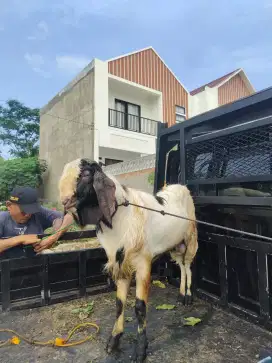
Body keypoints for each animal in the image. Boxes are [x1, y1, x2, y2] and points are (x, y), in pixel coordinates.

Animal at [58, 159, 198, 363]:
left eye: (85, 174)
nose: (65, 201)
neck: (122, 215)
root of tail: (180, 186)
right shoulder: (120, 263)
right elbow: (119, 303)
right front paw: (113, 341)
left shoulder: (143, 263)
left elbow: (140, 307)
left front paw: (140, 350)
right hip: (175, 245)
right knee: (181, 266)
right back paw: (180, 294)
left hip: (190, 238)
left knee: (187, 266)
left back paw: (187, 297)